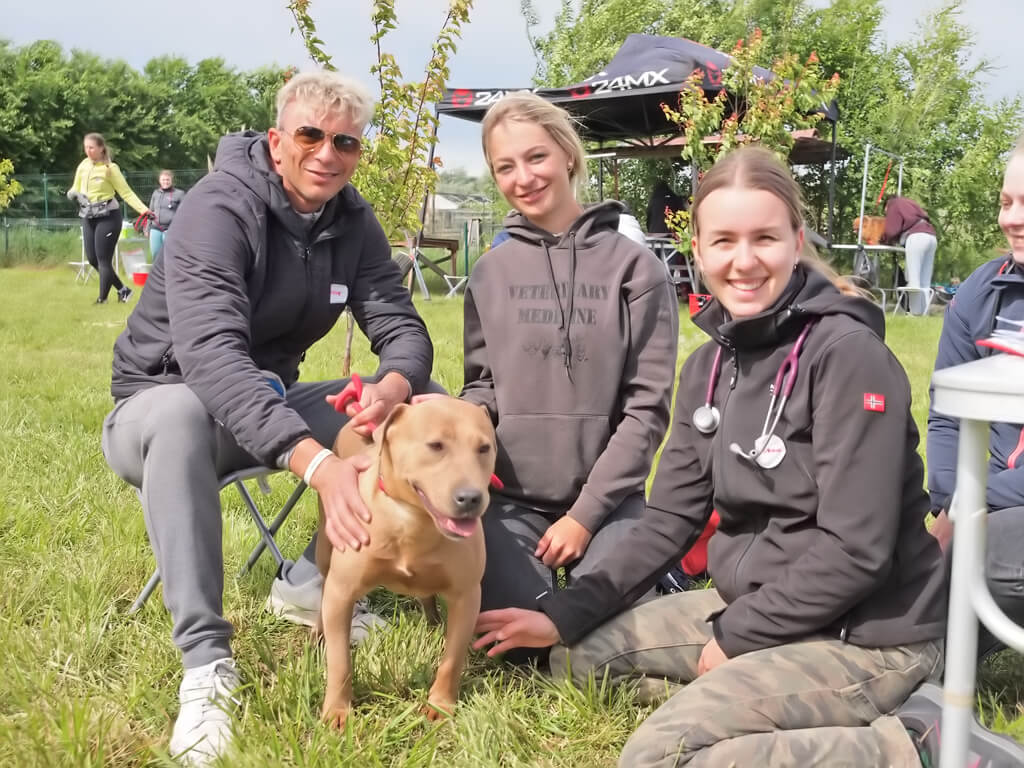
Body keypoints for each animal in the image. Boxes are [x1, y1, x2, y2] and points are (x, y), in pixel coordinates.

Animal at [314, 396, 497, 728]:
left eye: (484, 448)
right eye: (435, 445)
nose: (471, 498)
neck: (414, 521)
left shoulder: (467, 596)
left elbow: (452, 659)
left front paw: (440, 705)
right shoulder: (341, 592)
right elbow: (340, 661)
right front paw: (337, 710)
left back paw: (434, 624)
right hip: (325, 543)